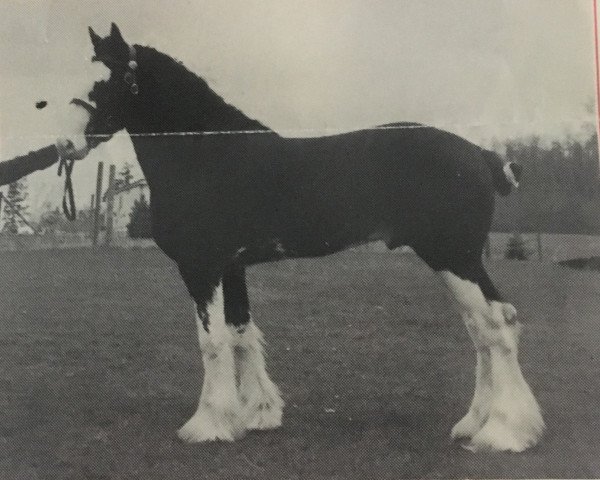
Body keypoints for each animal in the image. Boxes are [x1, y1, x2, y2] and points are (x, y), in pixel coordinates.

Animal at [72, 22, 548, 450]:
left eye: (108, 80)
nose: (71, 142)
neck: (206, 152)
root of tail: (480, 155)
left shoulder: (201, 266)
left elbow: (212, 342)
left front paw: (207, 425)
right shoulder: (231, 266)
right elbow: (242, 333)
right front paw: (258, 414)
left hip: (454, 257)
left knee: (495, 327)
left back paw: (504, 433)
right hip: (457, 261)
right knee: (483, 329)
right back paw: (475, 424)